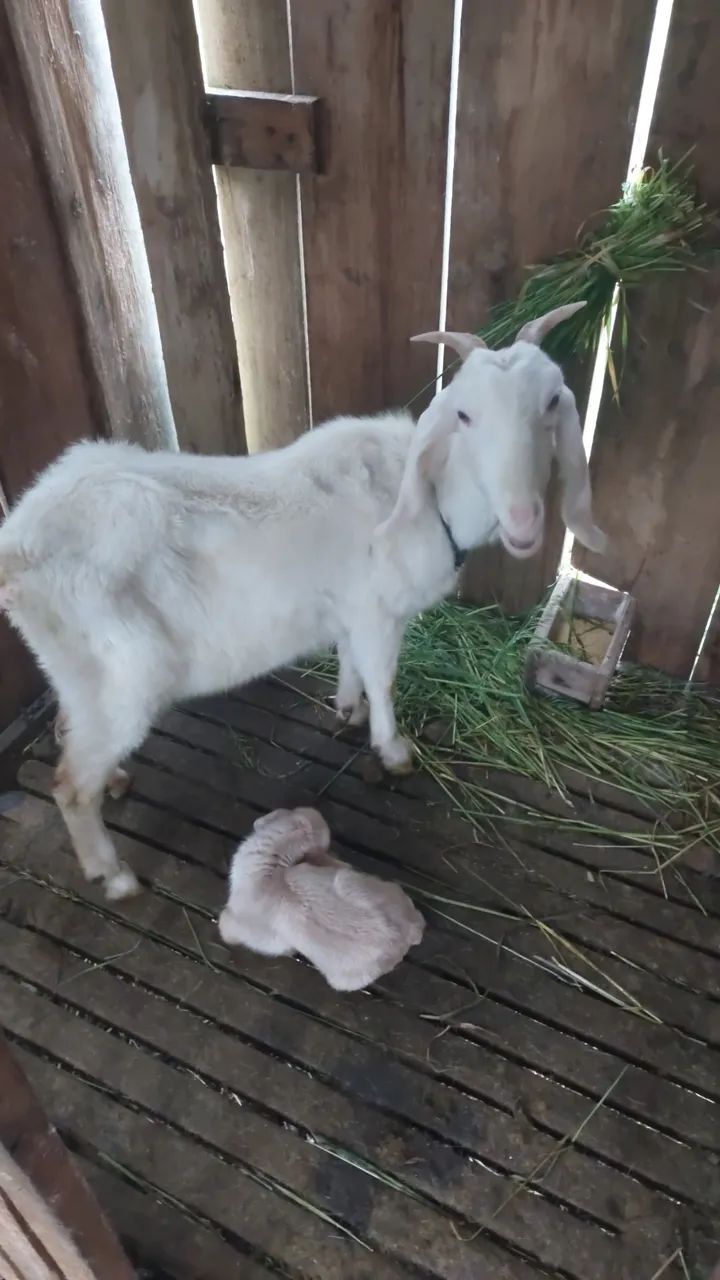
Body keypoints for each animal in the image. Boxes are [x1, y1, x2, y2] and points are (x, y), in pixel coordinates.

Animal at [0, 302, 605, 899]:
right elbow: (385, 679)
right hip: (124, 677)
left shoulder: (350, 610)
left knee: (70, 733)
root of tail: (17, 544)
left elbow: (350, 660)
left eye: (553, 401)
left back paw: (117, 781)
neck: (424, 501)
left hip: (80, 673)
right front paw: (393, 750)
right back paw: (114, 873)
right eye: (464, 415)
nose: (523, 521)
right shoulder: (377, 612)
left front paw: (347, 707)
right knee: (70, 786)